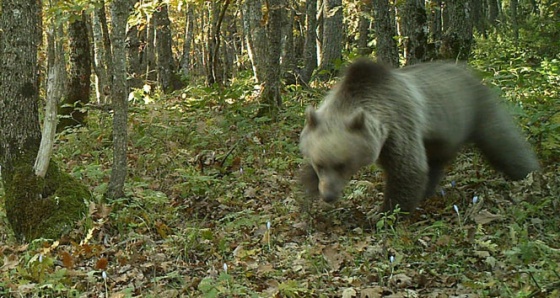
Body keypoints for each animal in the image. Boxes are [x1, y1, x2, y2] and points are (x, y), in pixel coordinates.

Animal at [300, 58, 540, 212]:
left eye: (343, 164)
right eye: (320, 164)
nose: (328, 195)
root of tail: (471, 72)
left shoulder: (398, 127)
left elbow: (408, 170)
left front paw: (384, 212)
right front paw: (306, 188)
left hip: (478, 109)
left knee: (503, 142)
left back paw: (529, 173)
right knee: (435, 164)